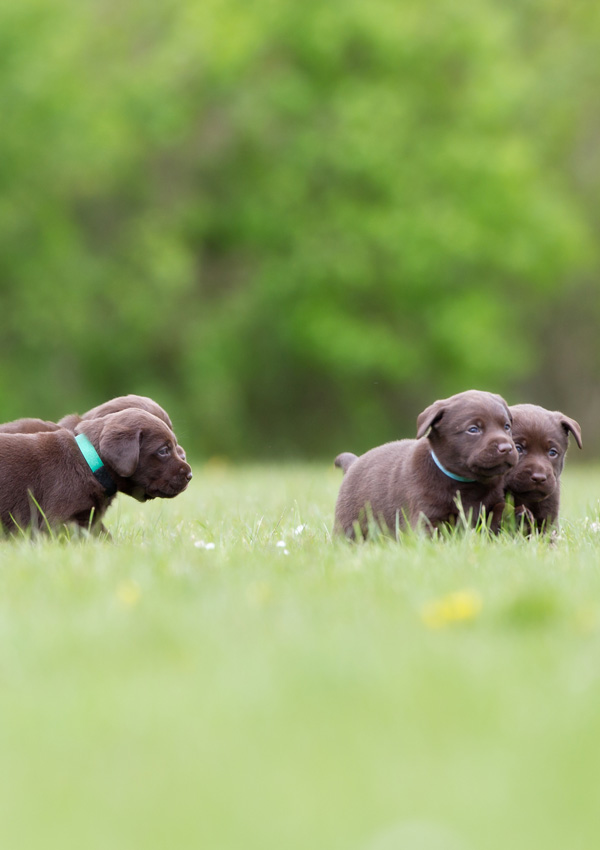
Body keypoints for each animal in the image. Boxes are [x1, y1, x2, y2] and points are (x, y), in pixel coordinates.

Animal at [336, 390, 516, 536]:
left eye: (507, 426)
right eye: (473, 429)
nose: (506, 448)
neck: (468, 484)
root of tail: (353, 463)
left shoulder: (494, 502)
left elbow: (497, 515)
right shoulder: (426, 515)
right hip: (349, 524)